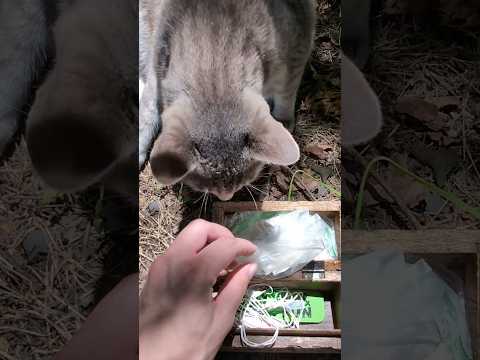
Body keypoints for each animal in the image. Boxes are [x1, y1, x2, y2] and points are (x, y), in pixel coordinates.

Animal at [140, 0, 316, 201]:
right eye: (202, 182)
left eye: (247, 176)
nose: (226, 197)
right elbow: (147, 110)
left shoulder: (298, 38)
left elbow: (287, 88)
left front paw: (284, 118)